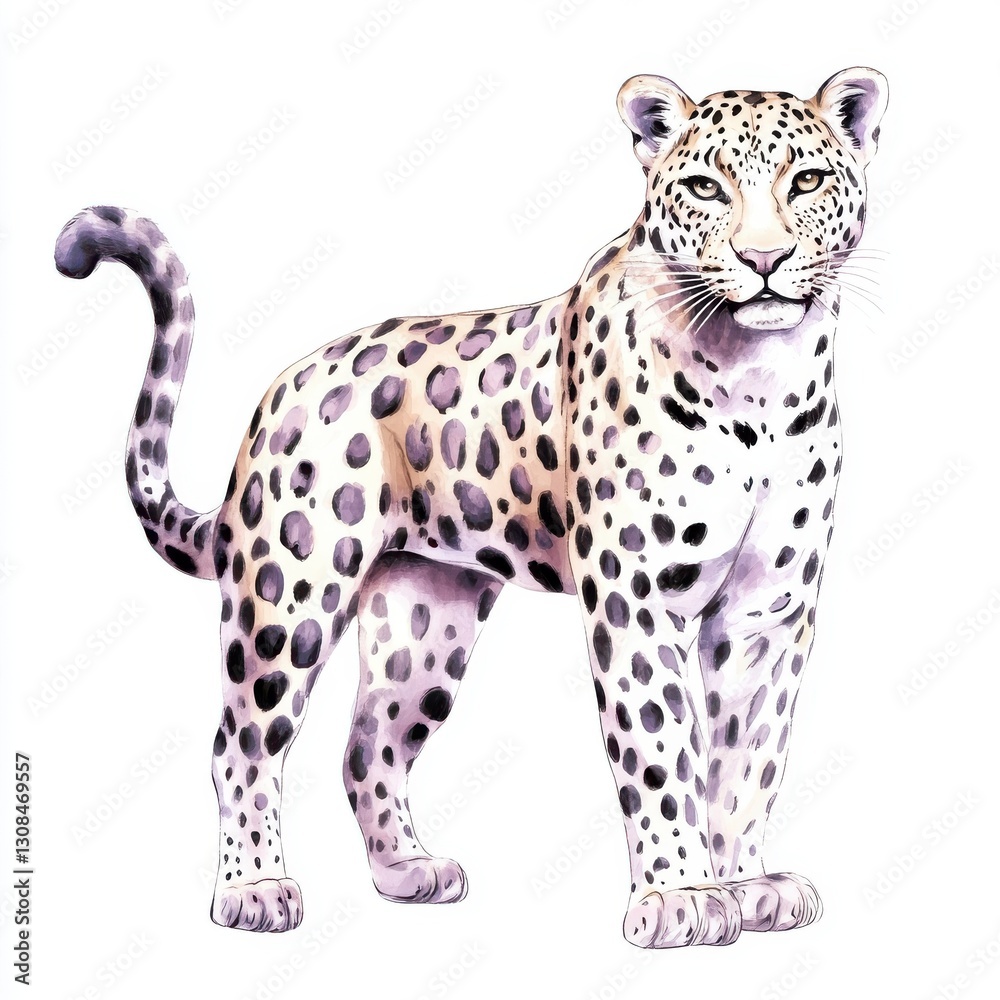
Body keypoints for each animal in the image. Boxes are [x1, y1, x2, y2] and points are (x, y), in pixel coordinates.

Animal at [54, 65, 887, 948]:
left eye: (807, 181)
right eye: (704, 187)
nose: (764, 258)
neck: (760, 380)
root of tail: (280, 392)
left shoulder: (767, 611)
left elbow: (749, 759)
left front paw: (748, 883)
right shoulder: (635, 598)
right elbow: (662, 748)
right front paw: (680, 898)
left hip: (426, 621)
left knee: (369, 747)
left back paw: (407, 872)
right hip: (288, 598)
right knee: (240, 744)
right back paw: (255, 888)